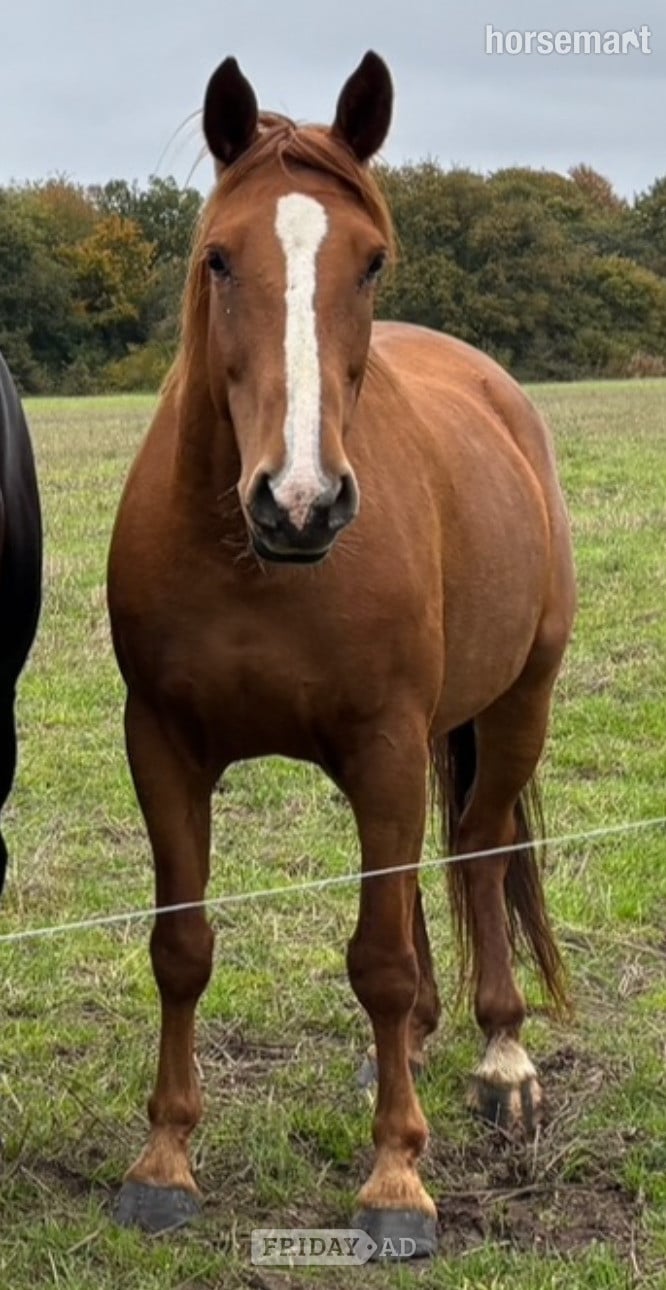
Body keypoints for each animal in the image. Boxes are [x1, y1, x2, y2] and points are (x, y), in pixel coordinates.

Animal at [107, 52, 576, 1256]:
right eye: (219, 257)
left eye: (371, 261)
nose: (302, 500)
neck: (254, 564)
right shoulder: (163, 747)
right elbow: (183, 946)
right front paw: (165, 1161)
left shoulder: (383, 745)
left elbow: (380, 958)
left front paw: (396, 1179)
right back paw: (413, 1048)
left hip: (517, 707)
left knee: (478, 854)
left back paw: (502, 1059)